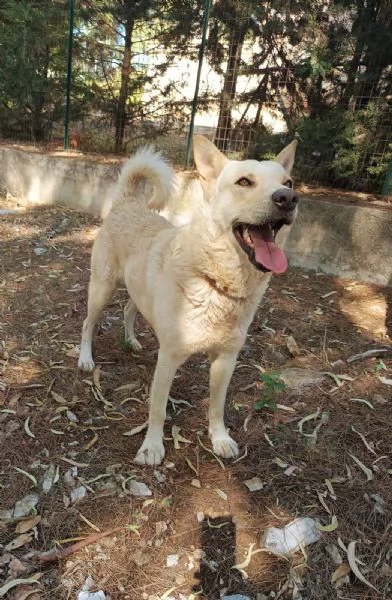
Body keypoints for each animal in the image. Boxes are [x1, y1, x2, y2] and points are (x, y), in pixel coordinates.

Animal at [80, 135, 300, 464]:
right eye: (244, 182)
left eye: (288, 181)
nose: (288, 198)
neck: (215, 282)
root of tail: (127, 203)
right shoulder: (168, 358)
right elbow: (158, 410)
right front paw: (152, 447)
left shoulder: (225, 360)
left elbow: (217, 407)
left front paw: (220, 439)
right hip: (102, 289)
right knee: (87, 323)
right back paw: (85, 358)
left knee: (130, 308)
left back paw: (131, 340)